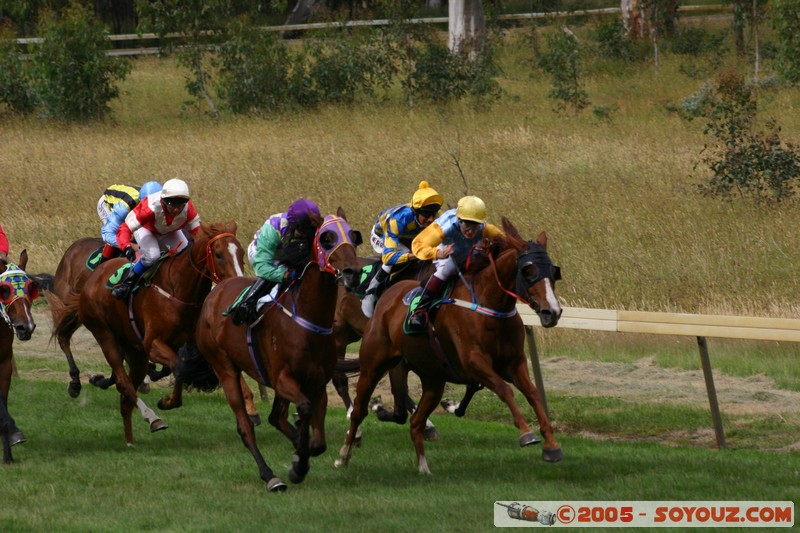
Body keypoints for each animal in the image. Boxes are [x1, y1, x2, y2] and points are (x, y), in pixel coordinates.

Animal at [54, 221, 244, 444]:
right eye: (219, 255)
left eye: (241, 253)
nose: (238, 283)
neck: (178, 289)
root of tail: (92, 278)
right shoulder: (152, 344)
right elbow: (180, 366)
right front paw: (167, 401)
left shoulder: (184, 343)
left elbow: (179, 368)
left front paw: (168, 400)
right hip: (104, 333)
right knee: (121, 381)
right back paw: (151, 417)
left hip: (135, 351)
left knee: (125, 392)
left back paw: (129, 439)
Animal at [194, 208, 360, 490]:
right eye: (326, 239)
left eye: (353, 236)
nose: (352, 272)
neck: (308, 320)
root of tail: (214, 293)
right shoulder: (282, 378)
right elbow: (304, 410)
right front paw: (298, 463)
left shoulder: (317, 383)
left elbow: (318, 441)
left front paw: (301, 456)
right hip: (224, 367)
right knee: (245, 426)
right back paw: (270, 475)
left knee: (275, 417)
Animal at [336, 216, 564, 474]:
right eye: (528, 270)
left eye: (553, 271)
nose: (552, 312)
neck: (490, 304)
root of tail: (389, 294)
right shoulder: (475, 362)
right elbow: (504, 389)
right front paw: (527, 433)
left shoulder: (514, 362)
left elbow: (533, 393)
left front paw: (551, 445)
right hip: (373, 365)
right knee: (359, 410)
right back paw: (344, 453)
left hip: (433, 379)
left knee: (415, 422)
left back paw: (423, 466)